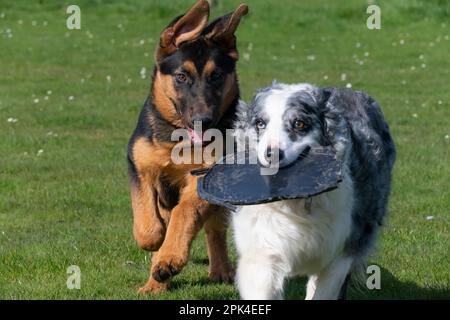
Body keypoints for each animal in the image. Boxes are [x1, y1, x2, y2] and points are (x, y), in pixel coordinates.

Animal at [127, 0, 250, 294]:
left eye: (216, 76)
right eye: (181, 76)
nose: (203, 121)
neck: (179, 138)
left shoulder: (204, 178)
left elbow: (185, 213)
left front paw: (169, 258)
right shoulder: (140, 168)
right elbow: (148, 220)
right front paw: (154, 243)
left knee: (214, 230)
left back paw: (219, 270)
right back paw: (154, 284)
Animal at [234, 82, 396, 300]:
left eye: (299, 124)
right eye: (260, 123)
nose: (272, 154)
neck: (293, 202)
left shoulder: (342, 249)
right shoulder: (263, 249)